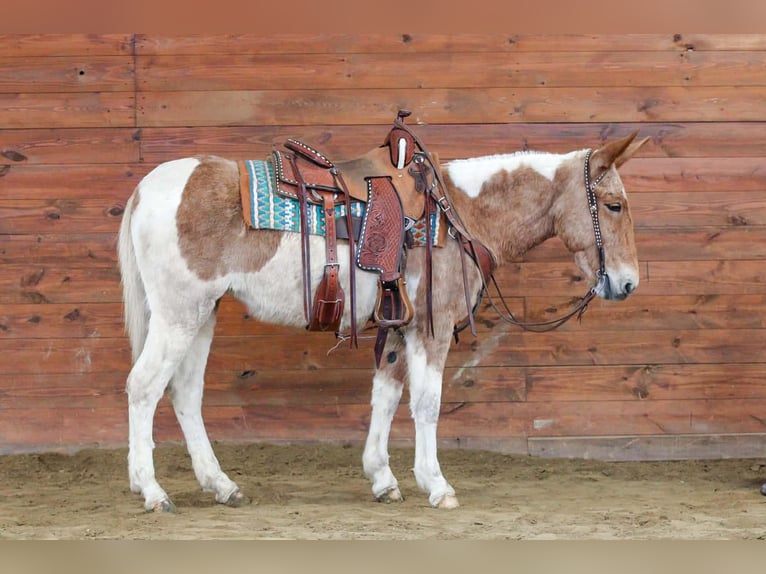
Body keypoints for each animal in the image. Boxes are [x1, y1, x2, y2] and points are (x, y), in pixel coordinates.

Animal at [118, 125, 648, 512]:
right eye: (614, 205)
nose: (627, 284)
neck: (459, 214)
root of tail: (146, 189)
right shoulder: (431, 327)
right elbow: (426, 405)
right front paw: (436, 484)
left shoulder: (397, 326)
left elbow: (386, 397)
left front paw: (382, 478)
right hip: (179, 314)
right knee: (144, 387)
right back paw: (152, 491)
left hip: (201, 315)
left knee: (185, 393)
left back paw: (221, 485)